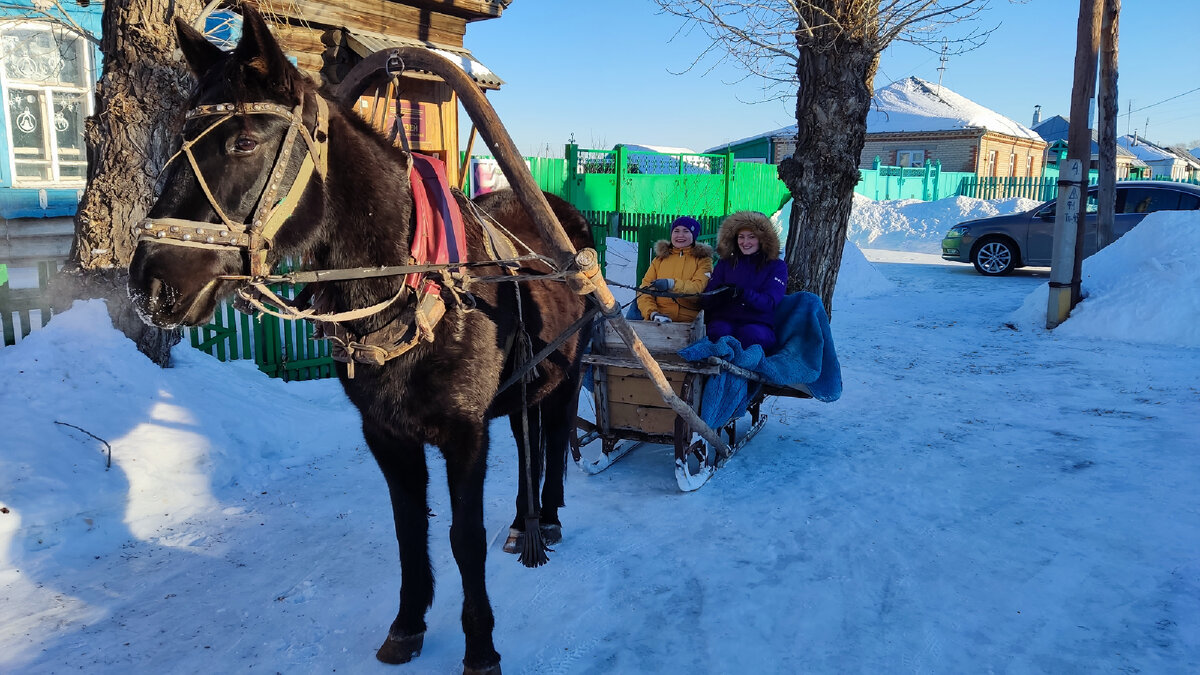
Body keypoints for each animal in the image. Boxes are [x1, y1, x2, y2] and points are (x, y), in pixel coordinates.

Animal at [127, 9, 590, 674]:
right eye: (176, 142)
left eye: (244, 142)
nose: (151, 283)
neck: (416, 288)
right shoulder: (385, 434)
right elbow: (409, 530)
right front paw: (408, 622)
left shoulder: (464, 434)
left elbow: (464, 537)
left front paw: (480, 646)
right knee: (529, 435)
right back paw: (523, 521)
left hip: (571, 370)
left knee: (552, 437)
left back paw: (546, 517)